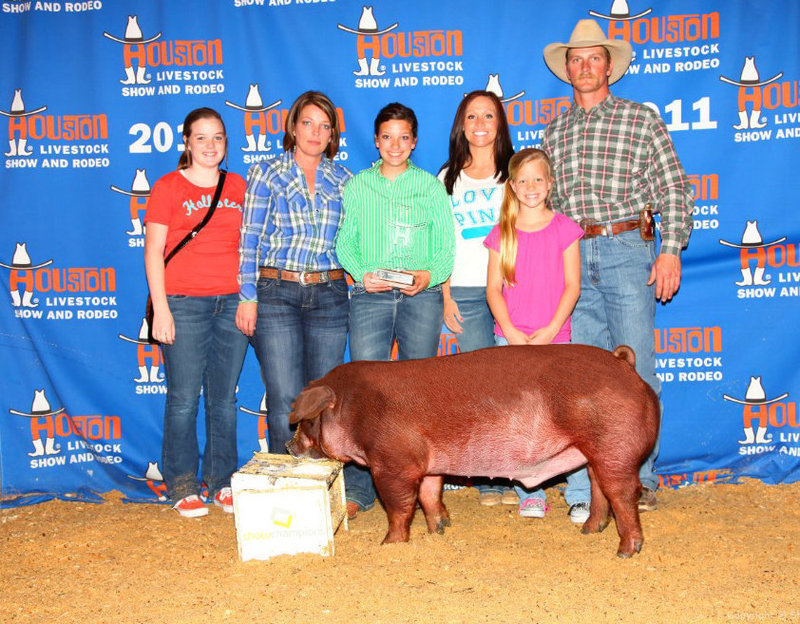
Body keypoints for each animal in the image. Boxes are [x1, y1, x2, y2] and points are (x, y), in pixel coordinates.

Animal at [288, 344, 656, 560]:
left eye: (306, 421)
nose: (289, 446)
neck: (355, 409)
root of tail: (624, 365)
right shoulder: (428, 464)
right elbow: (430, 496)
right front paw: (438, 529)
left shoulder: (392, 464)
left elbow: (399, 507)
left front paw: (389, 545)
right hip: (594, 451)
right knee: (600, 489)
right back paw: (589, 530)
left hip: (614, 446)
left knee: (623, 493)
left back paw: (626, 551)